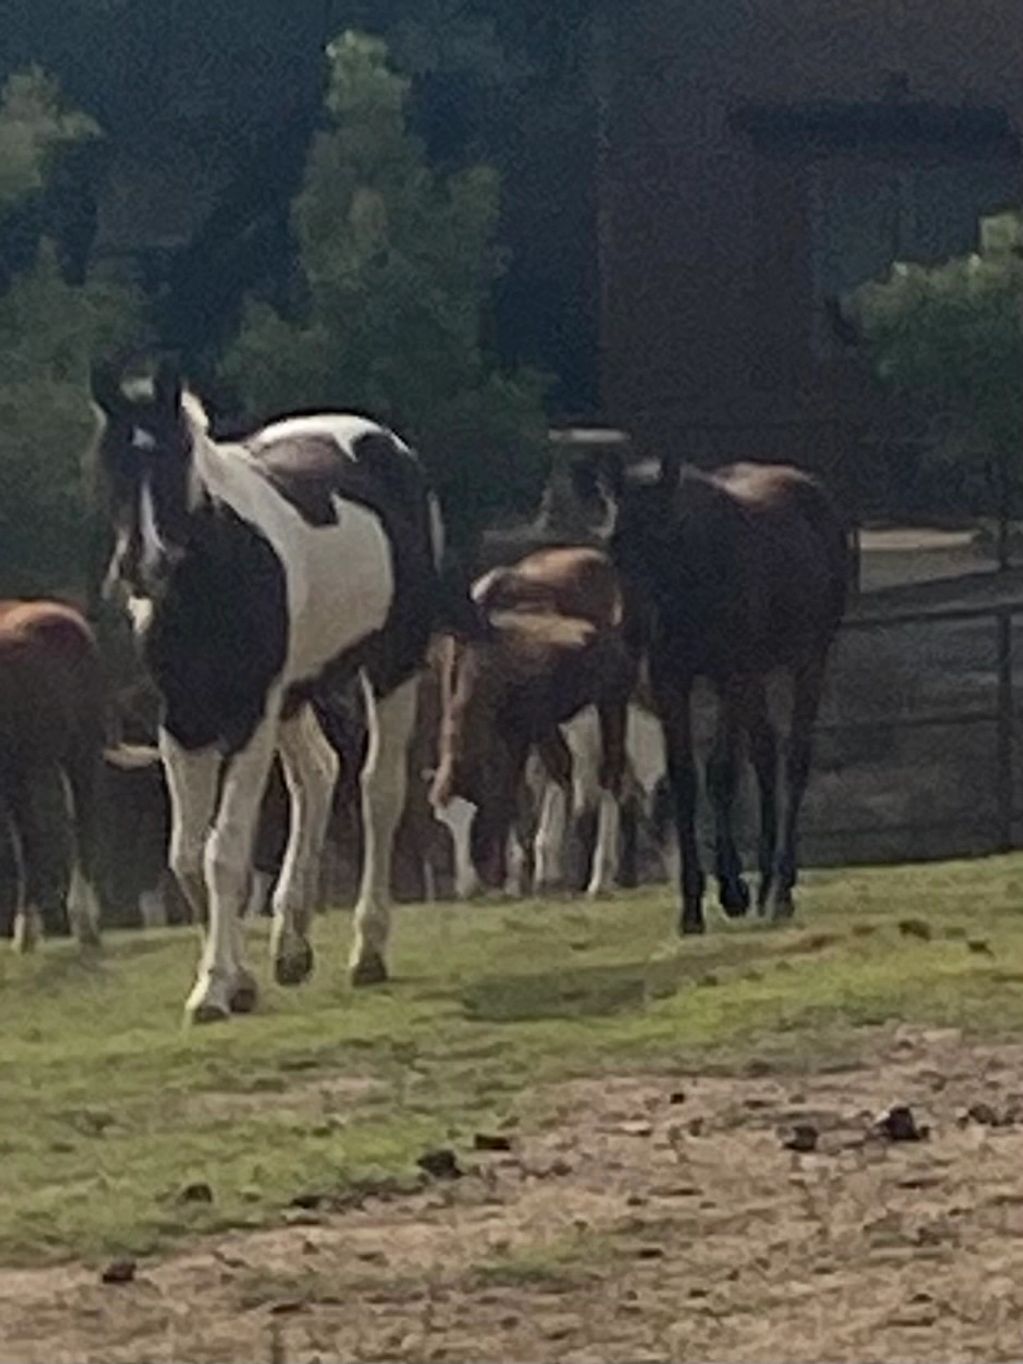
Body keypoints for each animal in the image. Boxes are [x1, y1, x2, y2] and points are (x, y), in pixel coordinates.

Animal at [91, 359, 478, 1022]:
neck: (217, 572)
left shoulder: (250, 714)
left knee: (378, 791)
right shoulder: (183, 719)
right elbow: (187, 855)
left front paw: (214, 989)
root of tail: (382, 441)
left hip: (389, 667)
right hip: (294, 695)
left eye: (174, 458)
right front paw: (238, 980)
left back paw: (367, 952)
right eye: (110, 461)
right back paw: (292, 947)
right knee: (318, 776)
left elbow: (224, 851)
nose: (146, 565)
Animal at [430, 546, 637, 897]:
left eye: (474, 818)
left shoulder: (527, 727)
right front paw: (518, 878)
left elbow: (526, 781)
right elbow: (517, 789)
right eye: (444, 824)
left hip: (607, 705)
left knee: (606, 773)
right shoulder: (515, 730)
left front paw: (530, 876)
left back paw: (598, 877)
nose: (467, 888)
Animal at [592, 453, 849, 934]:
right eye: (613, 543)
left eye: (662, 540)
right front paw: (692, 907)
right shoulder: (671, 682)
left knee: (794, 760)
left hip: (807, 659)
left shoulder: (728, 675)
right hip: (755, 675)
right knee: (765, 753)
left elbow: (721, 773)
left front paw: (732, 892)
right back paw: (766, 885)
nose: (631, 630)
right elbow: (683, 778)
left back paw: (780, 891)